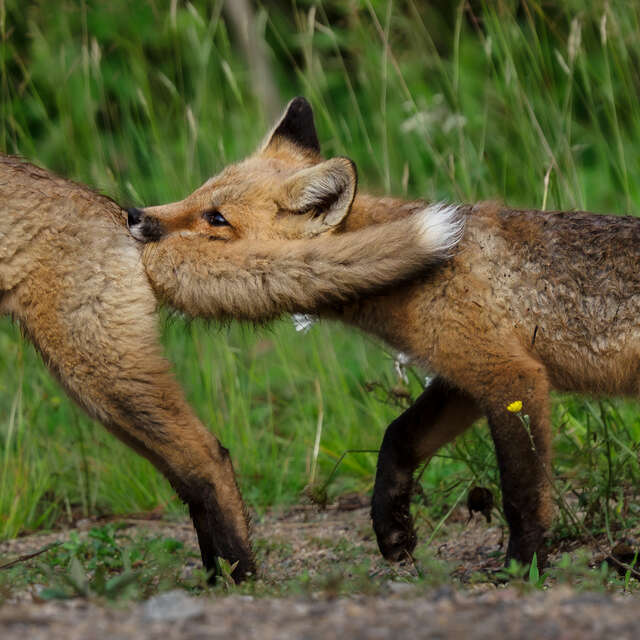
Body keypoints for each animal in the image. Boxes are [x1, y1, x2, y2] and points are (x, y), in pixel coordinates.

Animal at [0, 153, 458, 582]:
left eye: (218, 217)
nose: (137, 215)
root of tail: (104, 205)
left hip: (99, 372)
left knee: (208, 457)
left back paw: (242, 577)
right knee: (189, 475)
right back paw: (216, 578)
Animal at [129, 96, 640, 572]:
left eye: (216, 219)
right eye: (196, 194)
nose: (133, 215)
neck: (428, 270)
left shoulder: (510, 376)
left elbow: (521, 492)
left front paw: (523, 565)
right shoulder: (462, 379)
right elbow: (398, 438)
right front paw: (391, 528)